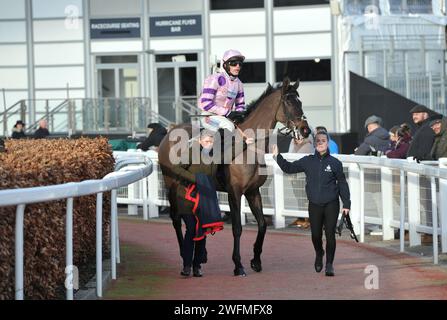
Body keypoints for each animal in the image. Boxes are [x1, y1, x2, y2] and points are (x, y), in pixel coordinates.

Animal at [159, 77, 310, 276]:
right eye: (289, 102)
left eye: (300, 101)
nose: (305, 130)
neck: (247, 147)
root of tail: (168, 133)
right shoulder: (234, 192)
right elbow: (237, 228)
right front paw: (238, 265)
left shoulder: (253, 191)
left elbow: (262, 224)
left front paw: (256, 261)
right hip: (171, 184)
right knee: (176, 219)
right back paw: (185, 258)